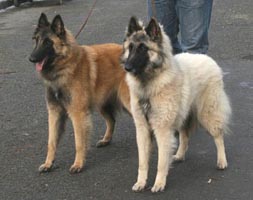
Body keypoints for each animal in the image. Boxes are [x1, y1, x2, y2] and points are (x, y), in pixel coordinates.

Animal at [29, 13, 130, 173]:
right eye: (37, 40)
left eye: (48, 43)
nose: (31, 59)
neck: (62, 68)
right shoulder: (54, 112)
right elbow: (51, 141)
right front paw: (48, 163)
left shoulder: (77, 114)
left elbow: (79, 142)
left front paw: (78, 164)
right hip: (102, 103)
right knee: (112, 120)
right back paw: (106, 140)